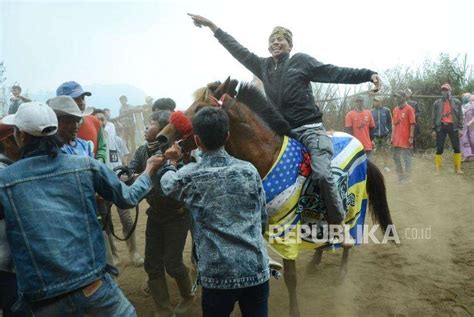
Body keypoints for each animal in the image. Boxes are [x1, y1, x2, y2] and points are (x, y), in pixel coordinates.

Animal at [156, 78, 392, 314]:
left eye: (199, 109)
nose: (162, 138)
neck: (267, 156)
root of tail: (362, 149)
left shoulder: (286, 227)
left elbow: (290, 277)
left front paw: (294, 310)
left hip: (354, 207)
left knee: (347, 236)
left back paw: (342, 271)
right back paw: (315, 262)